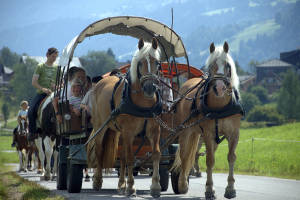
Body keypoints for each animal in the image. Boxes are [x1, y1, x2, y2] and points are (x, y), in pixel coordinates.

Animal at [171, 41, 244, 199]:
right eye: (211, 66)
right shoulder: (209, 134)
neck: (220, 106)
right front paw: (209, 189)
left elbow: (231, 157)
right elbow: (210, 160)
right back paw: (182, 184)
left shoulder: (234, 134)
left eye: (228, 65)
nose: (220, 87)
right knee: (184, 155)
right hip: (186, 131)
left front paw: (230, 189)